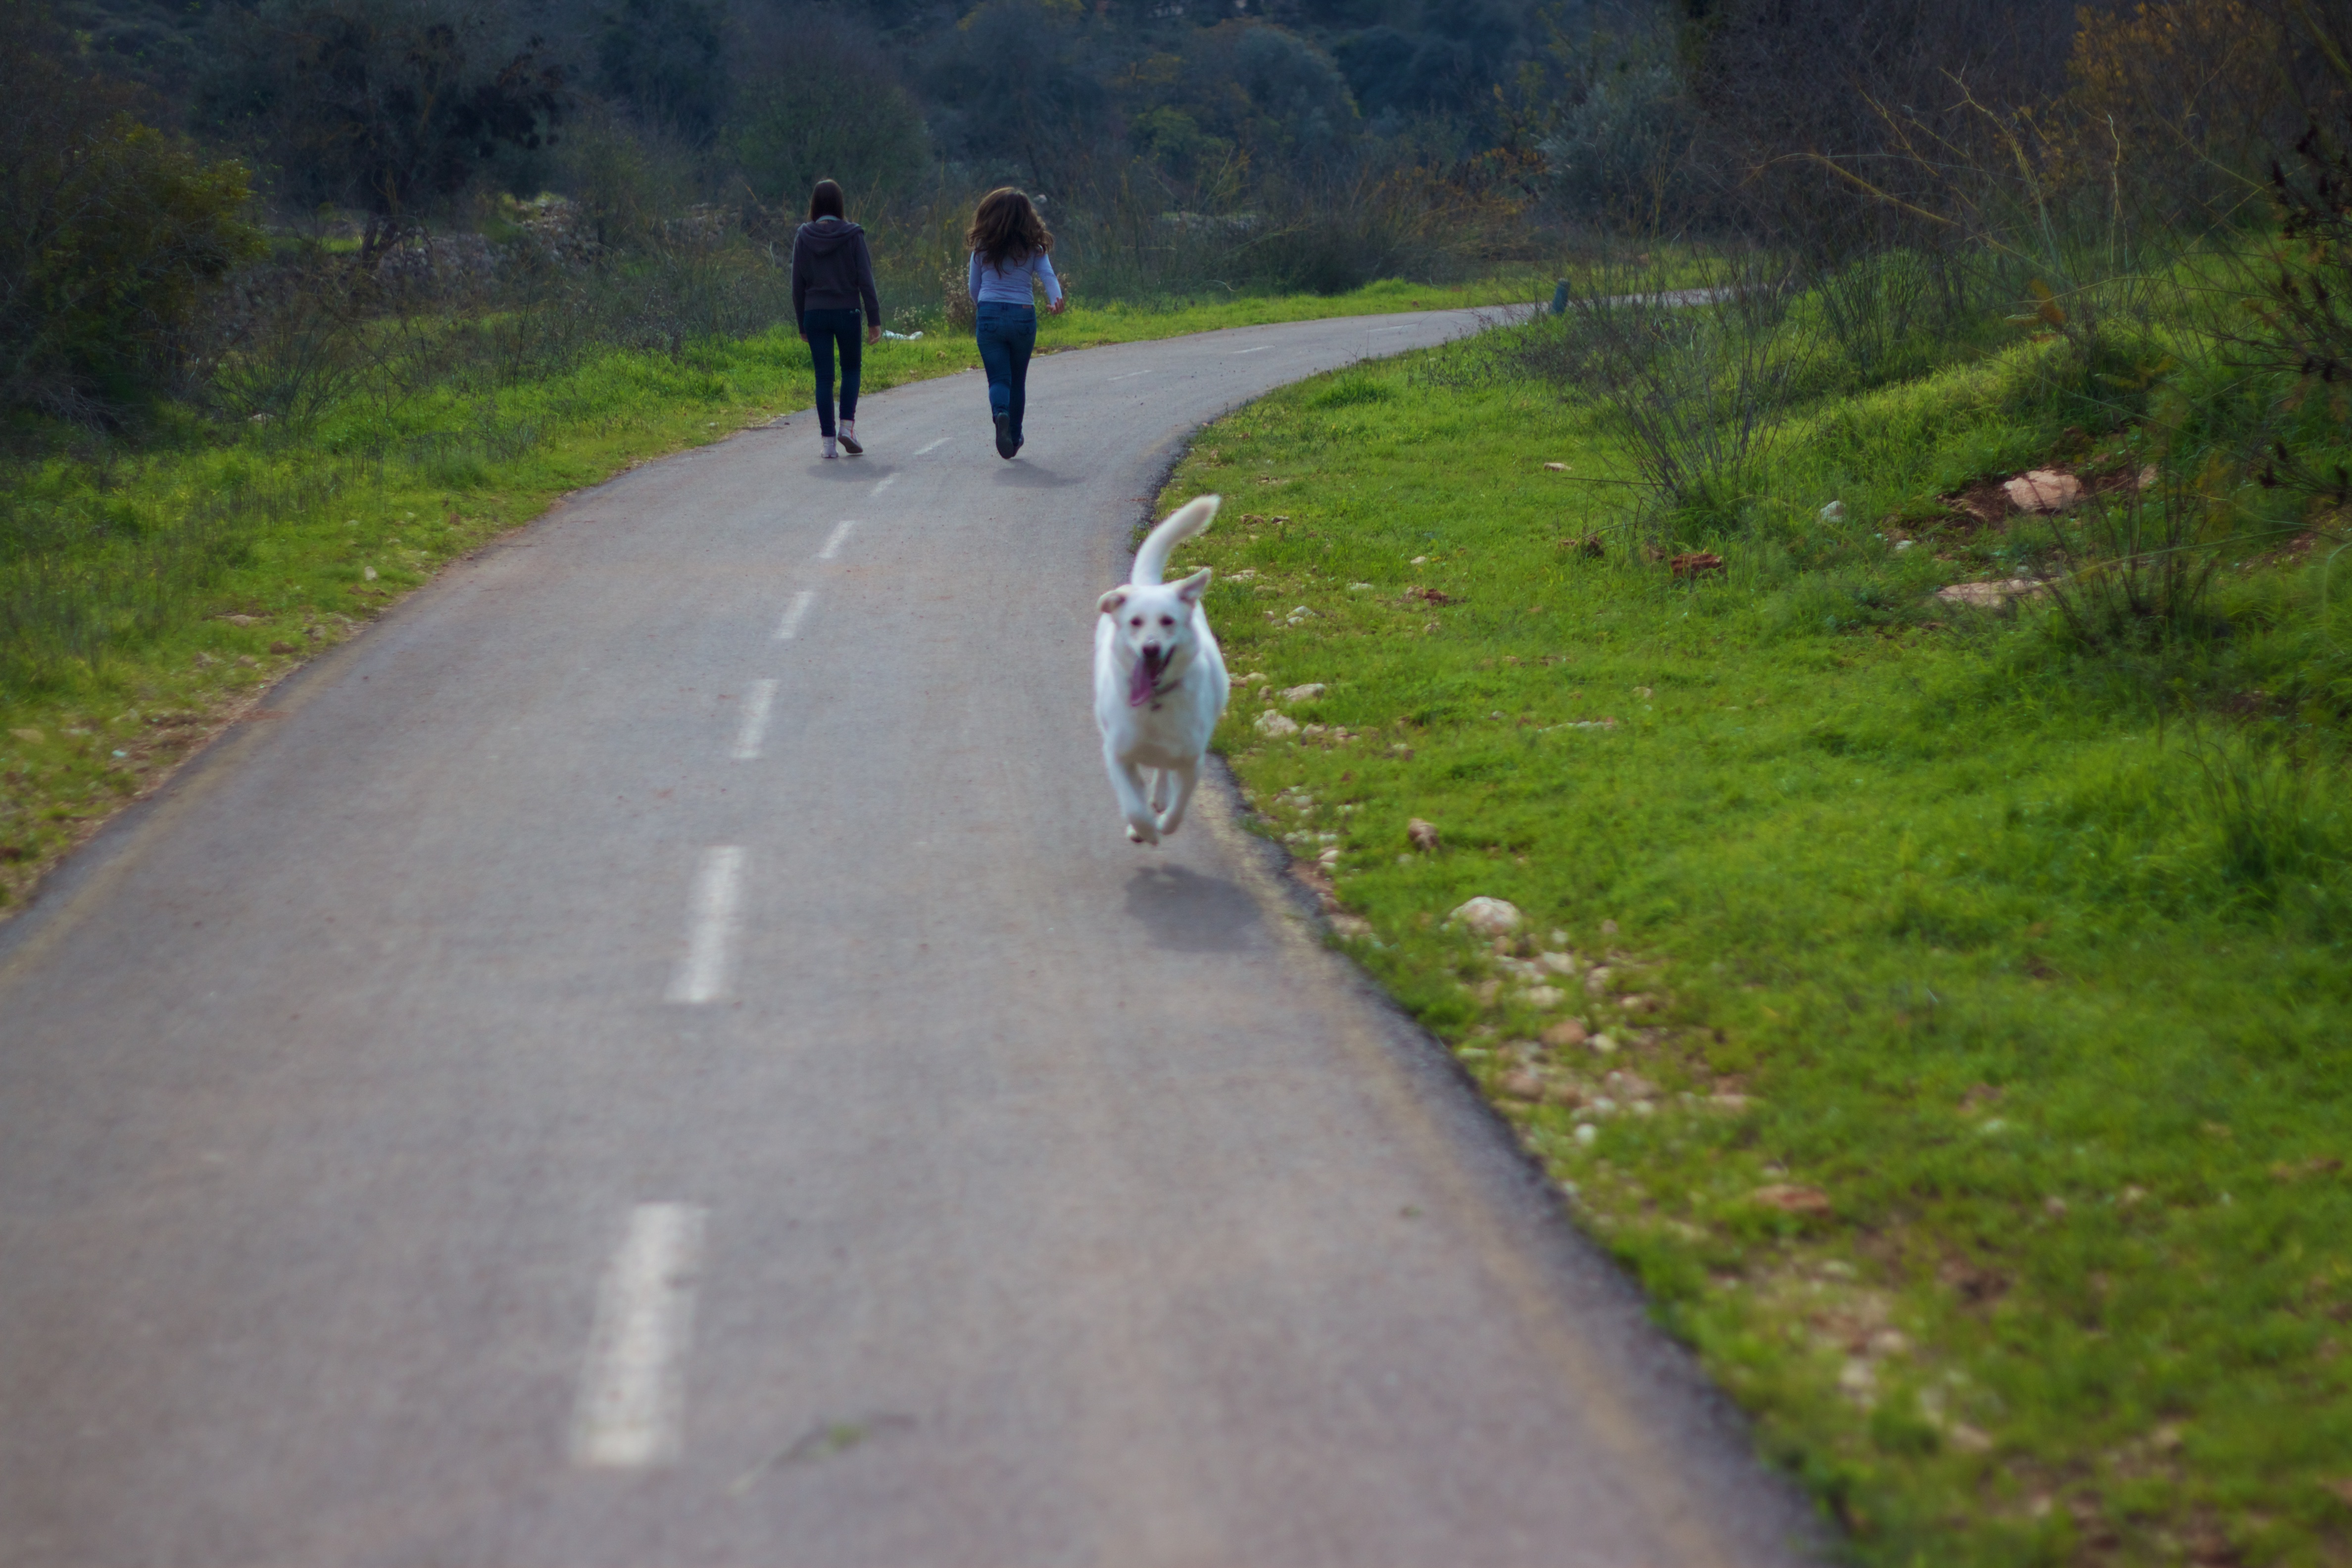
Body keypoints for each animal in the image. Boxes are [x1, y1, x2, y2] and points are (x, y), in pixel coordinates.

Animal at [1086, 500, 1223, 846]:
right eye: (1135, 622)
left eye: (1168, 621)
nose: (1150, 649)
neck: (1154, 703)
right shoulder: (1118, 756)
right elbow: (1134, 806)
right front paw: (1144, 830)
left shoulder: (1192, 763)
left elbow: (1178, 810)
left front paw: (1162, 823)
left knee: (1163, 774)